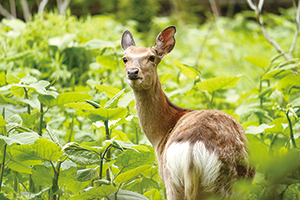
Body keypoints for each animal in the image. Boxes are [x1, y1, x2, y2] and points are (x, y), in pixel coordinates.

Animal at [120, 26, 254, 200]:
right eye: (125, 58)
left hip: (174, 182)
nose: (133, 72)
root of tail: (192, 153)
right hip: (222, 185)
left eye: (151, 57)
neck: (160, 136)